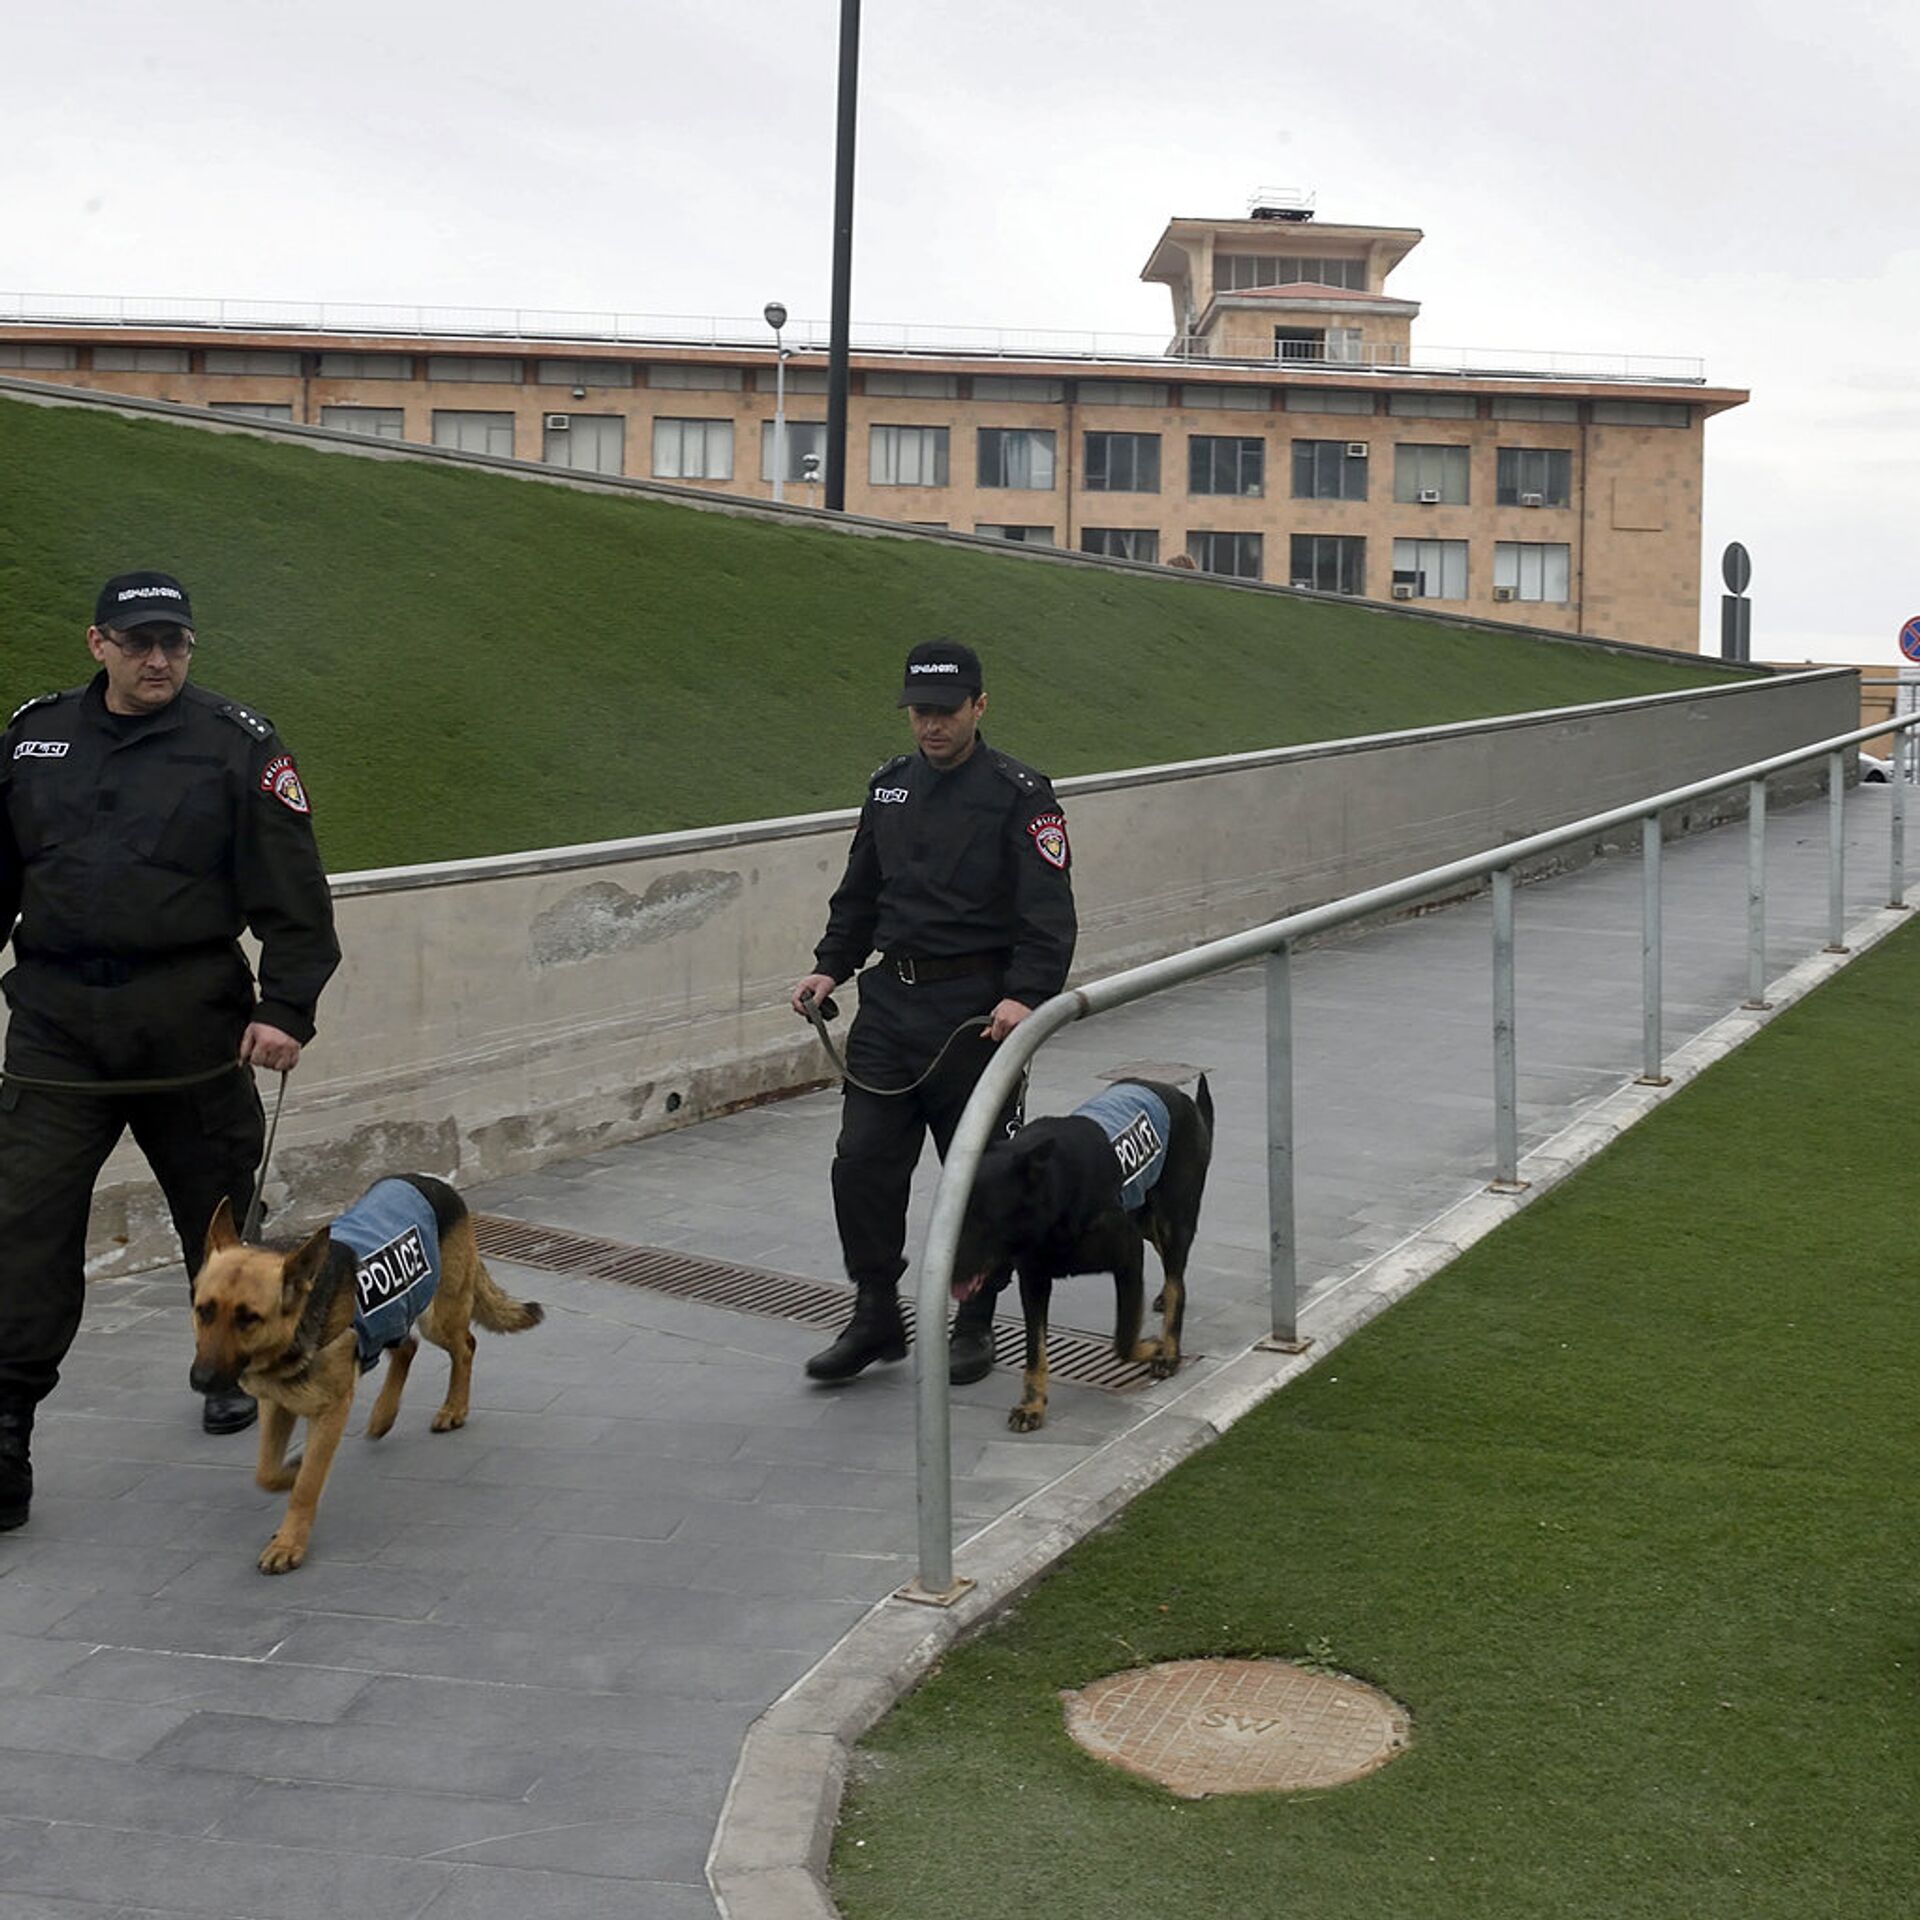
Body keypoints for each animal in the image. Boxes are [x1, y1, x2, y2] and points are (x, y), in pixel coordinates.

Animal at [188, 1167, 541, 1574]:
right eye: (203, 1310)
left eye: (248, 1319)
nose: (201, 1381)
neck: (294, 1330)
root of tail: (431, 1181)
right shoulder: (276, 1405)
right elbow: (266, 1472)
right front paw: (292, 1468)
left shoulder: (330, 1411)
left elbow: (307, 1484)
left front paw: (289, 1541)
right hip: (393, 1316)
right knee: (408, 1346)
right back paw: (383, 1416)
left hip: (438, 1315)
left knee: (464, 1346)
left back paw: (454, 1409)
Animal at [956, 1075, 1213, 1436]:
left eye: (985, 1221)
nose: (948, 1274)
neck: (1055, 1193)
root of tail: (1179, 1095)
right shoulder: (1034, 1281)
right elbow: (1035, 1350)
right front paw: (1032, 1404)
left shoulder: (1128, 1254)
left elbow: (1124, 1339)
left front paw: (1154, 1347)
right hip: (1146, 1218)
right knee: (1172, 1270)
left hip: (1170, 1220)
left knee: (1177, 1280)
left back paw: (1170, 1350)